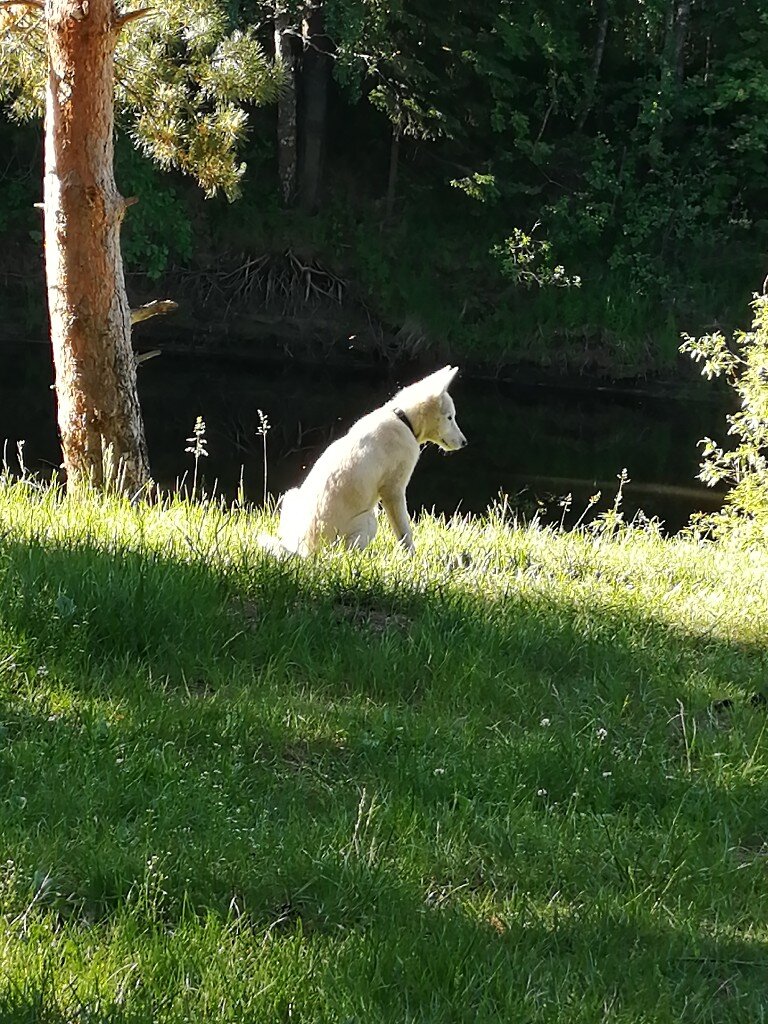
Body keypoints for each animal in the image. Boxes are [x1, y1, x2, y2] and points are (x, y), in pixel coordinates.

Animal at [260, 368, 468, 557]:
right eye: (450, 417)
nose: (465, 442)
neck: (403, 419)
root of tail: (303, 552)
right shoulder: (393, 491)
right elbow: (404, 531)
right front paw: (412, 557)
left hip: (291, 495)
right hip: (369, 520)